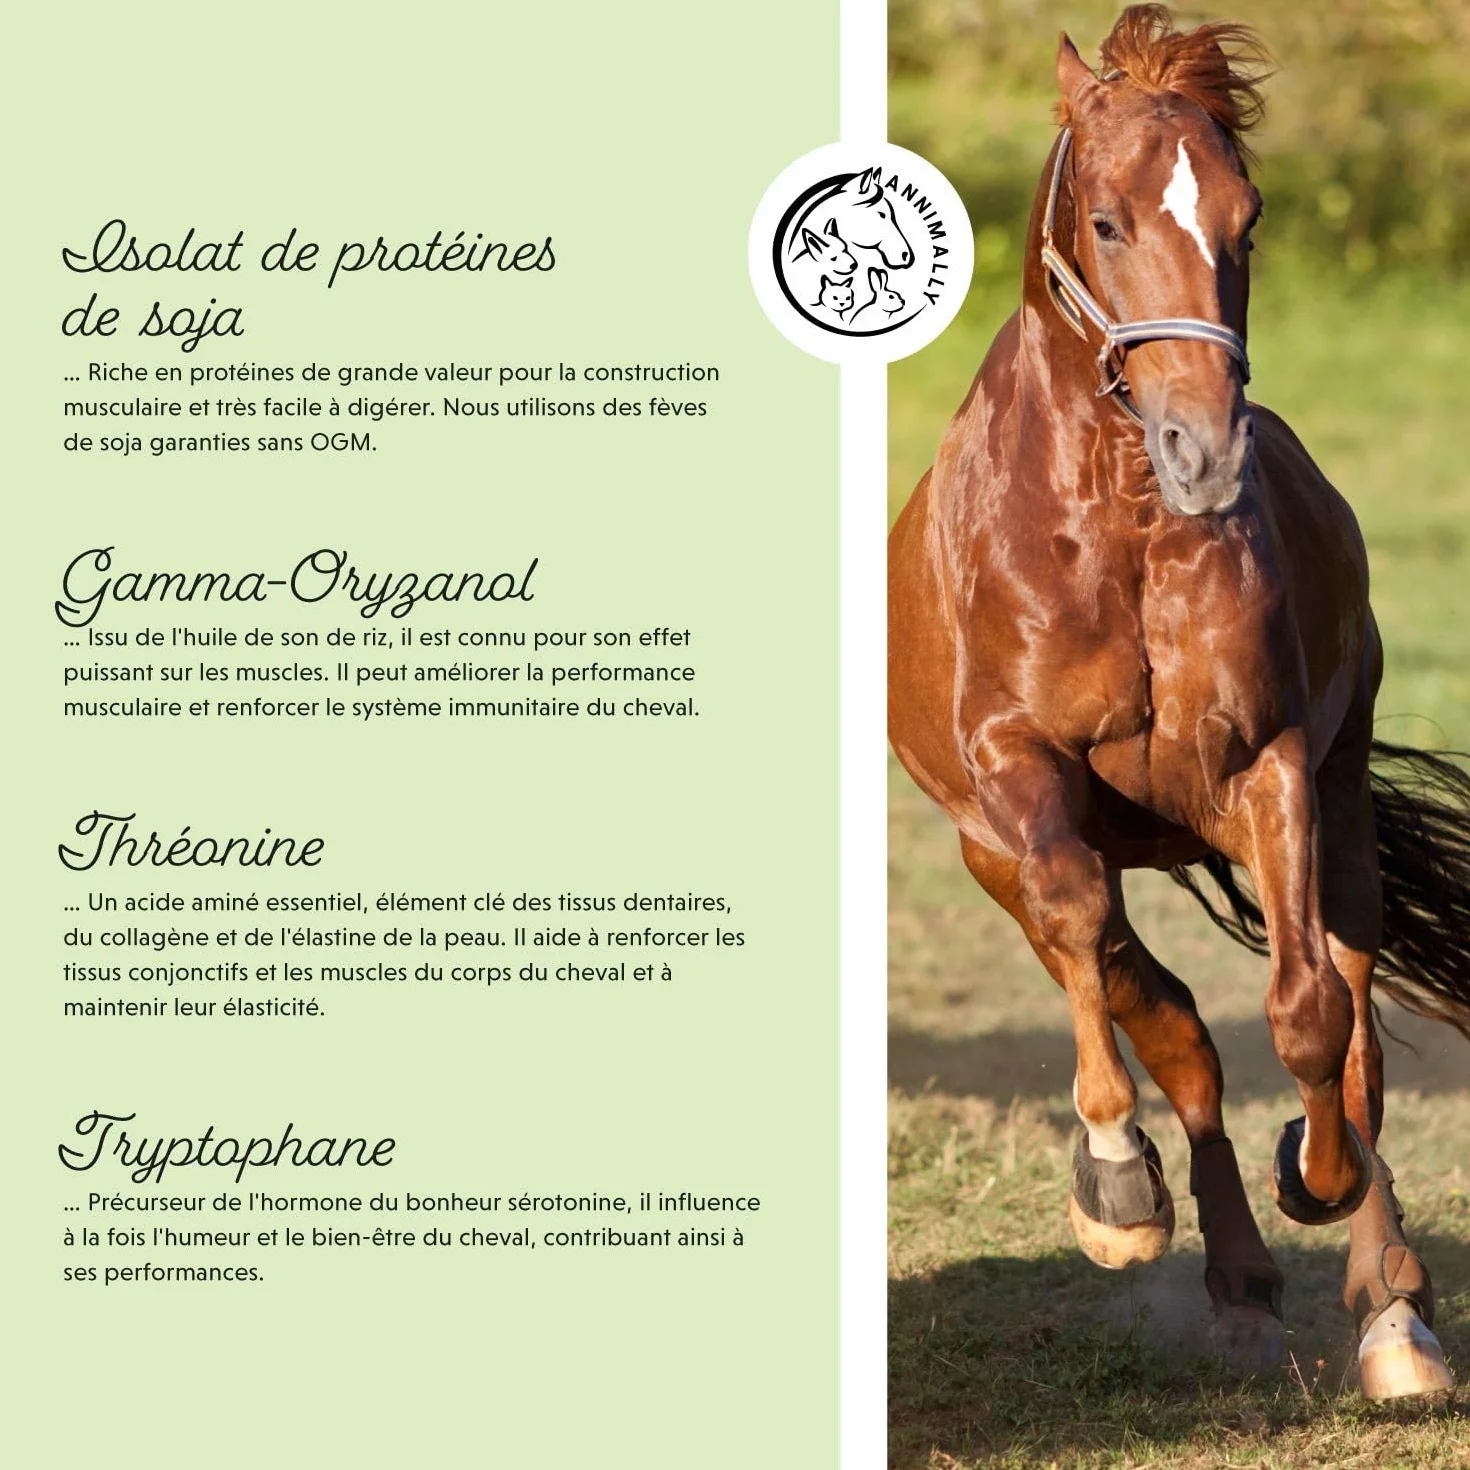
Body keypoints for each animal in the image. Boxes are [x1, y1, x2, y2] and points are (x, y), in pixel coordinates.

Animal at [888, 4, 1470, 1399]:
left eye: (1246, 218)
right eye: (1105, 221)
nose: (1206, 454)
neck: (1119, 525)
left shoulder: (1268, 764)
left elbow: (1313, 1017)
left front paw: (1321, 1187)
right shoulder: (1014, 778)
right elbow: (1092, 936)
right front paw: (1114, 1189)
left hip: (1336, 808)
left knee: (1349, 1013)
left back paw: (1389, 1306)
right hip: (994, 849)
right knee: (1161, 1015)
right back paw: (1236, 1283)